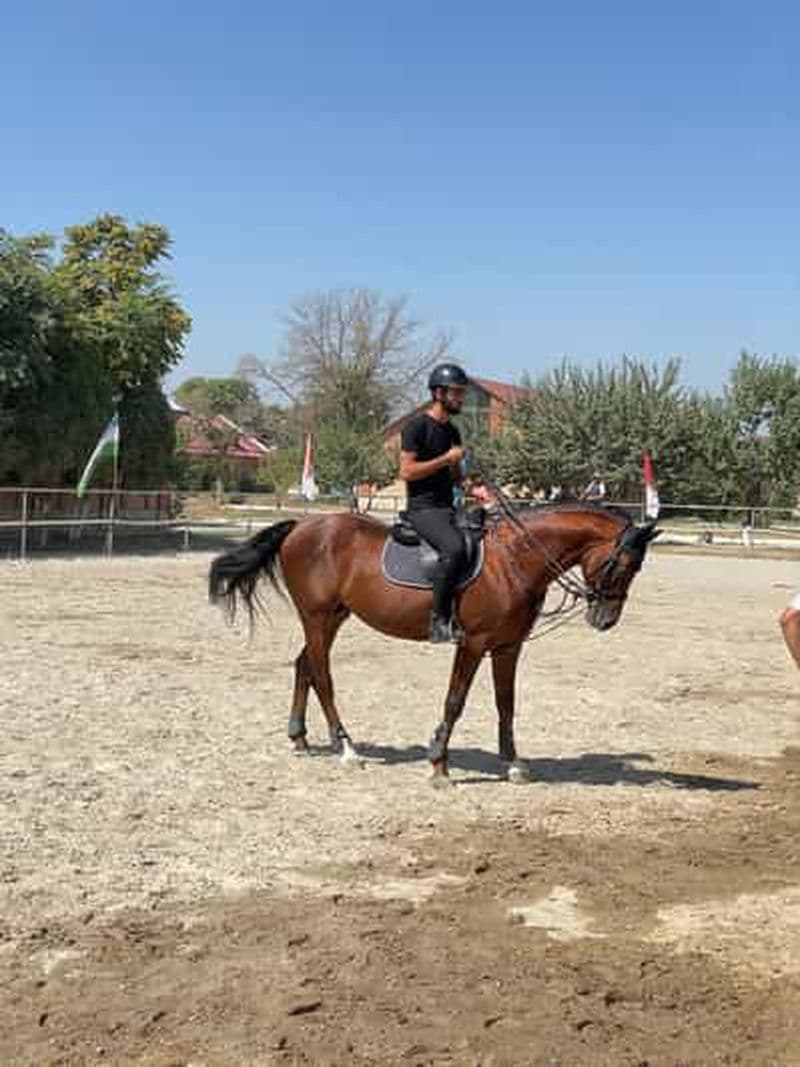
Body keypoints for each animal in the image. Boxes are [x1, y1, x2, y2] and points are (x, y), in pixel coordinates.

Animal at [208, 502, 660, 783]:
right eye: (621, 565)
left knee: (304, 665)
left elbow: (506, 704)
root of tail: (301, 527)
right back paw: (347, 747)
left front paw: (514, 764)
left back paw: (300, 737)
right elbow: (455, 700)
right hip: (317, 618)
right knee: (322, 675)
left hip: (333, 617)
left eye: (637, 569)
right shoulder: (473, 643)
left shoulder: (508, 646)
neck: (514, 560)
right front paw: (439, 762)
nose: (605, 620)